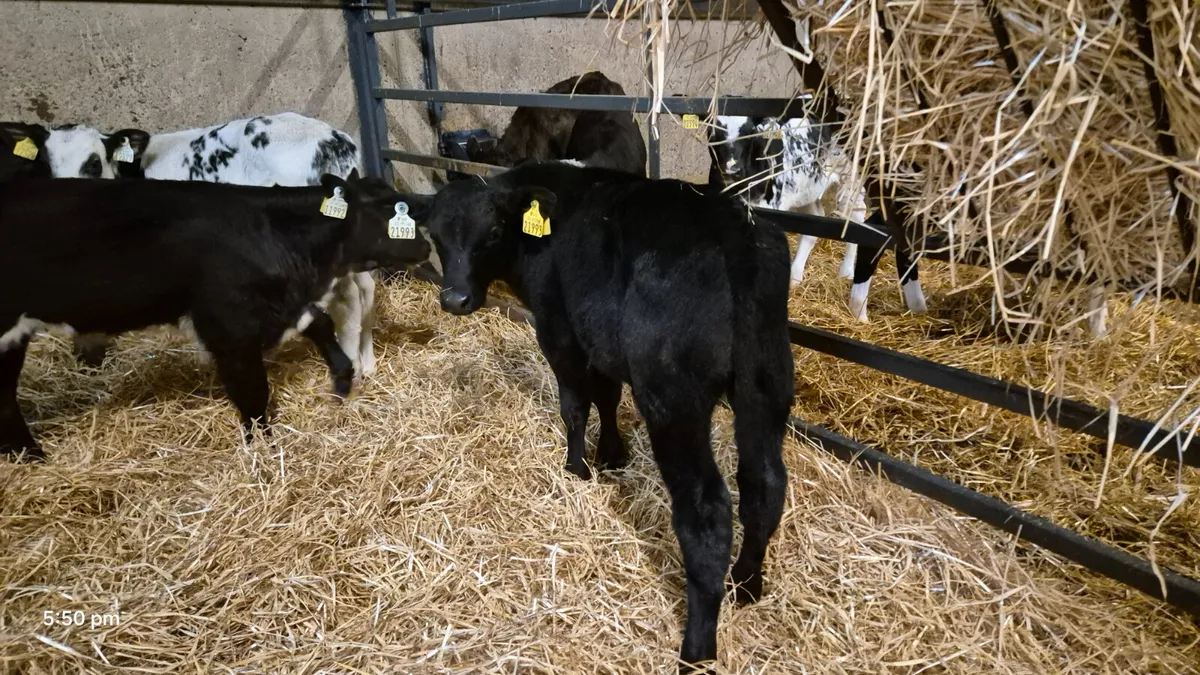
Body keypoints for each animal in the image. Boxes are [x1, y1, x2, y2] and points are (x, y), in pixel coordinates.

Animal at [0, 114, 386, 377]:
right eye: (45, 164)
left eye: (93, 162)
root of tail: (334, 140)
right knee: (366, 288)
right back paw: (366, 362)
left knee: (348, 297)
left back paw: (351, 363)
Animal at [0, 173, 430, 462]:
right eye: (388, 212)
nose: (426, 246)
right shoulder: (228, 327)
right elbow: (253, 393)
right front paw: (262, 448)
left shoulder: (278, 307)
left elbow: (321, 323)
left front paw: (342, 379)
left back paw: (28, 454)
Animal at [415, 161, 794, 671]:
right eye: (434, 233)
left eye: (492, 231)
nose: (454, 299)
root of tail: (733, 228)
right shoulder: (601, 341)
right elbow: (608, 398)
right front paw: (612, 455)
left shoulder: (560, 333)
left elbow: (575, 406)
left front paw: (576, 468)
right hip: (766, 380)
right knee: (764, 485)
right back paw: (747, 584)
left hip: (673, 396)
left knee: (707, 512)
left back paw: (697, 649)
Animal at [707, 112, 928, 322]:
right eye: (713, 132)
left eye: (749, 132)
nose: (732, 169)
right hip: (807, 191)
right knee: (814, 224)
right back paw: (796, 276)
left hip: (851, 180)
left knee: (856, 219)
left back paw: (847, 271)